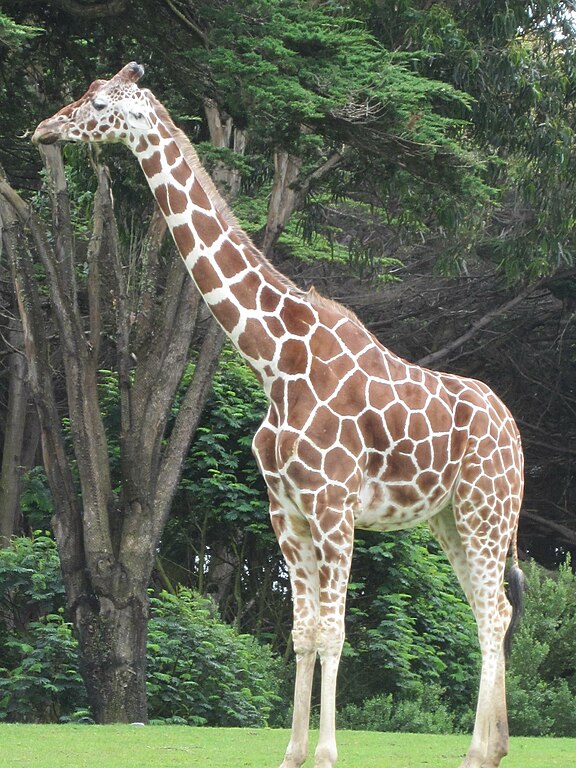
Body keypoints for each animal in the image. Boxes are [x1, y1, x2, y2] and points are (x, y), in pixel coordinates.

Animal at [33, 64, 524, 768]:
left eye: (99, 103)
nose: (44, 128)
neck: (272, 360)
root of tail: (516, 434)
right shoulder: (286, 511)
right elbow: (301, 632)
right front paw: (293, 752)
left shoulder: (334, 506)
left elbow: (334, 632)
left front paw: (327, 753)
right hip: (451, 519)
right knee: (491, 611)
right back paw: (490, 747)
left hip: (487, 511)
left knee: (494, 613)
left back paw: (480, 752)